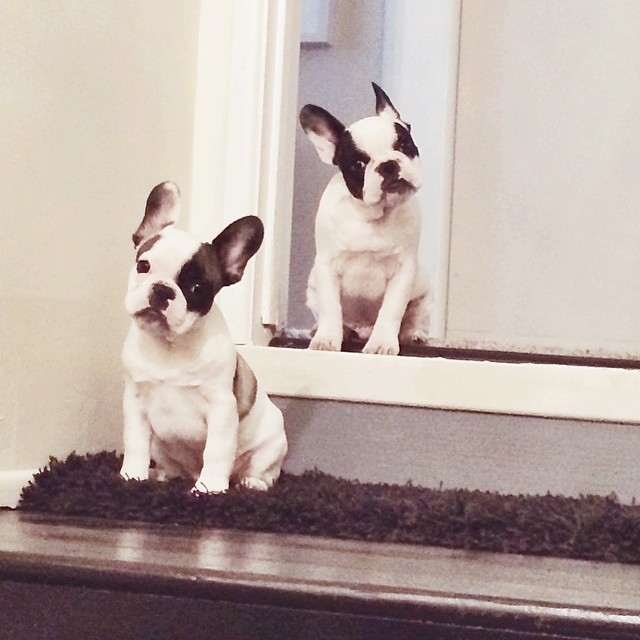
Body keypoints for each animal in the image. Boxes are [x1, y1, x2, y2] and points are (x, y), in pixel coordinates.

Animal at [119, 182, 288, 492]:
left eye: (197, 288)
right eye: (143, 266)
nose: (162, 290)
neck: (171, 345)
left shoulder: (221, 408)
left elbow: (217, 450)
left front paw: (209, 489)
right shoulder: (135, 403)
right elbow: (135, 443)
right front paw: (132, 476)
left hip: (271, 445)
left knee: (265, 473)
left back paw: (250, 484)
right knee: (169, 466)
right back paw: (161, 475)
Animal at [300, 81, 430, 356]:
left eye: (404, 146)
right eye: (358, 164)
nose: (388, 165)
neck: (372, 215)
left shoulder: (403, 271)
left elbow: (391, 310)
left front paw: (382, 343)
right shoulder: (327, 266)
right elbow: (331, 308)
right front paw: (326, 340)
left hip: (424, 292)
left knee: (415, 317)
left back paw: (413, 334)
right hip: (312, 288)